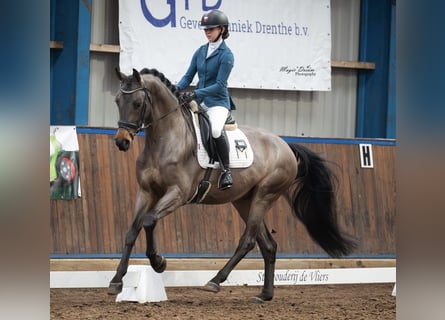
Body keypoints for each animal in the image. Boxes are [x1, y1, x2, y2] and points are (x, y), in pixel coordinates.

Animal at [106, 67, 354, 302]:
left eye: (138, 103)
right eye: (117, 100)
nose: (121, 142)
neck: (166, 140)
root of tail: (285, 145)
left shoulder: (178, 194)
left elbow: (149, 221)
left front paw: (159, 262)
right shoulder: (146, 192)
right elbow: (132, 231)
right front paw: (117, 280)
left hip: (264, 196)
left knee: (248, 241)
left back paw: (215, 281)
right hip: (245, 201)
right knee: (268, 245)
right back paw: (264, 295)